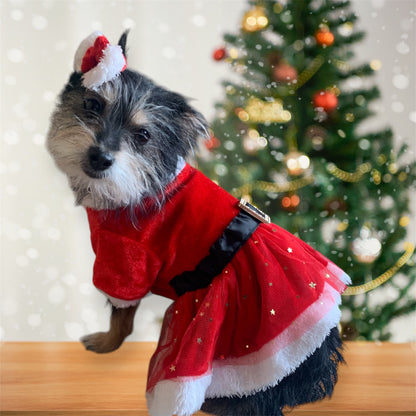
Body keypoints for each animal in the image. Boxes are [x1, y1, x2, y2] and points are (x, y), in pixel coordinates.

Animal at [47, 31, 350, 416]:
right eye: (92, 105)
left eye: (142, 136)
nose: (99, 157)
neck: (140, 187)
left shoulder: (125, 264)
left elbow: (121, 317)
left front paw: (106, 343)